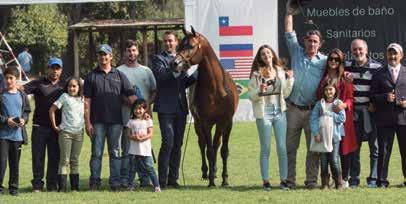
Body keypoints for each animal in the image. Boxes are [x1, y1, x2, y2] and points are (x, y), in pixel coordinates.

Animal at [174, 27, 238, 186]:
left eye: (191, 46)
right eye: (178, 46)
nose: (174, 63)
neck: (215, 88)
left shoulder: (226, 122)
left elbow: (223, 150)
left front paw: (224, 179)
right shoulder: (205, 123)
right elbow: (208, 150)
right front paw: (211, 181)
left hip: (219, 125)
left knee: (216, 145)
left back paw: (214, 171)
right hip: (198, 124)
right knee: (203, 145)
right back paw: (206, 172)